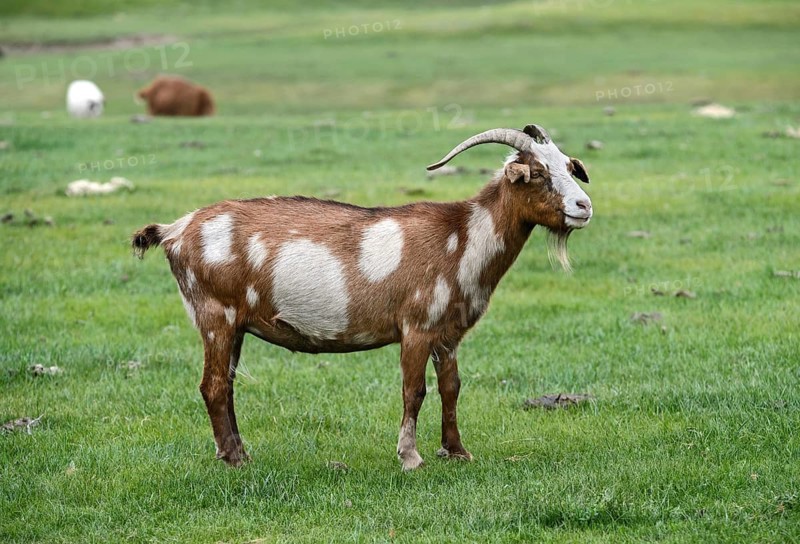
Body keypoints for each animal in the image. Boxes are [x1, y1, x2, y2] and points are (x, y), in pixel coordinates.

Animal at [132, 124, 592, 470]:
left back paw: (236, 452)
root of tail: (175, 230)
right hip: (216, 314)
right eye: (537, 173)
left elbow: (451, 388)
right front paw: (410, 457)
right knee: (212, 386)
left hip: (234, 324)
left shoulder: (448, 334)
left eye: (570, 167)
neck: (461, 238)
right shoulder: (416, 326)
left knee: (225, 385)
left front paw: (458, 451)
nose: (584, 206)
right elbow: (414, 391)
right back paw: (234, 459)